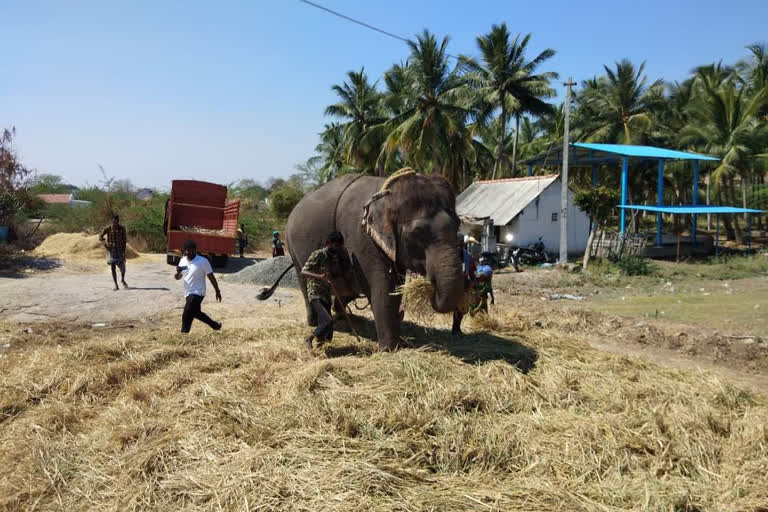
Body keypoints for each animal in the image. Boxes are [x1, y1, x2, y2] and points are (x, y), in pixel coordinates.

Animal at [264, 170, 464, 350]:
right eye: (418, 232)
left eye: (458, 225)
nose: (429, 288)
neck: (385, 194)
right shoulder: (362, 238)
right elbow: (382, 286)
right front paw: (389, 349)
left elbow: (394, 285)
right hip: (292, 246)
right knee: (305, 281)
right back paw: (314, 323)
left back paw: (342, 317)